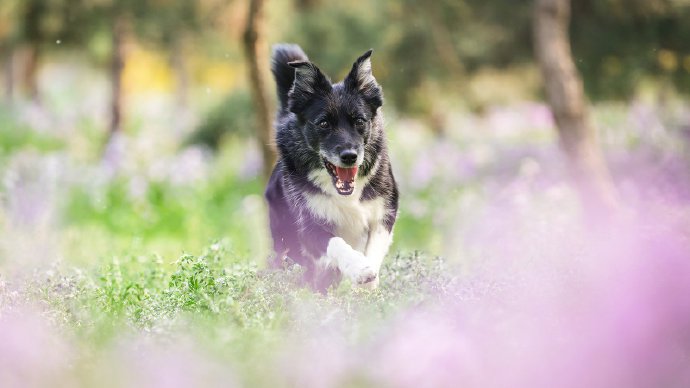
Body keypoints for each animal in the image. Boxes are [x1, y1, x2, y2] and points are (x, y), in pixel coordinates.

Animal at [264, 44, 398, 292]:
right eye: (324, 123)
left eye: (359, 121)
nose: (349, 156)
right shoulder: (308, 224)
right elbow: (336, 243)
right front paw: (359, 269)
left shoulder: (385, 211)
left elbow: (374, 247)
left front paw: (370, 282)